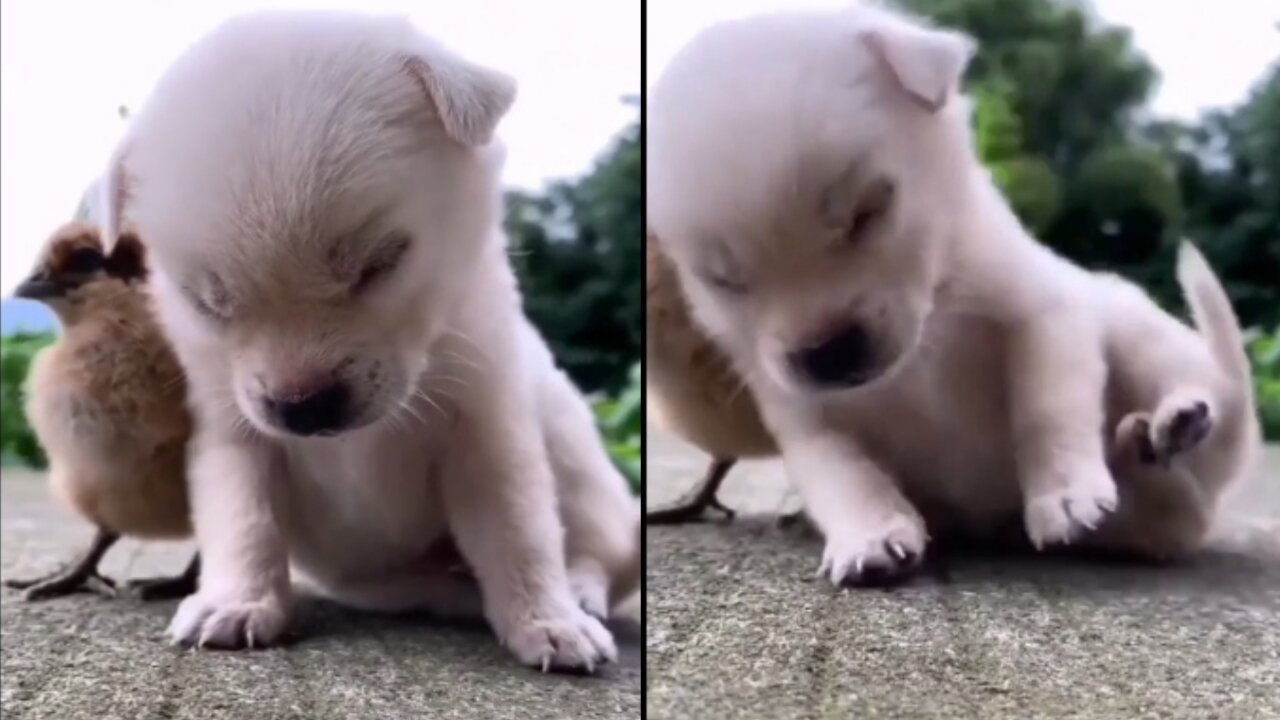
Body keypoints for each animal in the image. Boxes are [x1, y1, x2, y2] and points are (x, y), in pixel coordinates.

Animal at [99, 9, 640, 671]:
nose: (304, 407)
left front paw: (548, 620)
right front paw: (238, 603)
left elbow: (519, 530)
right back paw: (458, 594)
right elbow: (244, 518)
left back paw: (579, 594)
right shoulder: (232, 430)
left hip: (580, 463)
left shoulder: (486, 425)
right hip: (368, 574)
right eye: (208, 302)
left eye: (381, 263)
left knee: (601, 551)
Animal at [650, 4, 1259, 584]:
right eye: (723, 280)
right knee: (1173, 513)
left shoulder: (1043, 315)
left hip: (1138, 335)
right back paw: (1140, 452)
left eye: (869, 212)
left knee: (1203, 418)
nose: (827, 352)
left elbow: (1046, 408)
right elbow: (844, 476)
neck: (934, 316)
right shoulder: (805, 415)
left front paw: (1063, 493)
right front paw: (869, 537)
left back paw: (1176, 419)